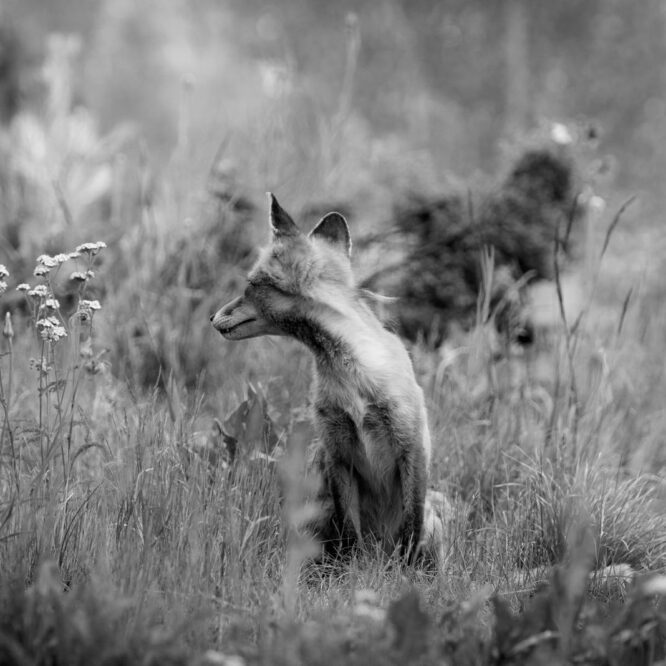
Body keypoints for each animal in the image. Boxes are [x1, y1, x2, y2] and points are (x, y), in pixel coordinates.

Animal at [211, 194, 436, 563]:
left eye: (251, 284)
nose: (211, 317)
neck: (353, 377)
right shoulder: (336, 450)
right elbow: (349, 530)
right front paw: (353, 568)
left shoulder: (411, 445)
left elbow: (410, 529)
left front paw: (408, 571)